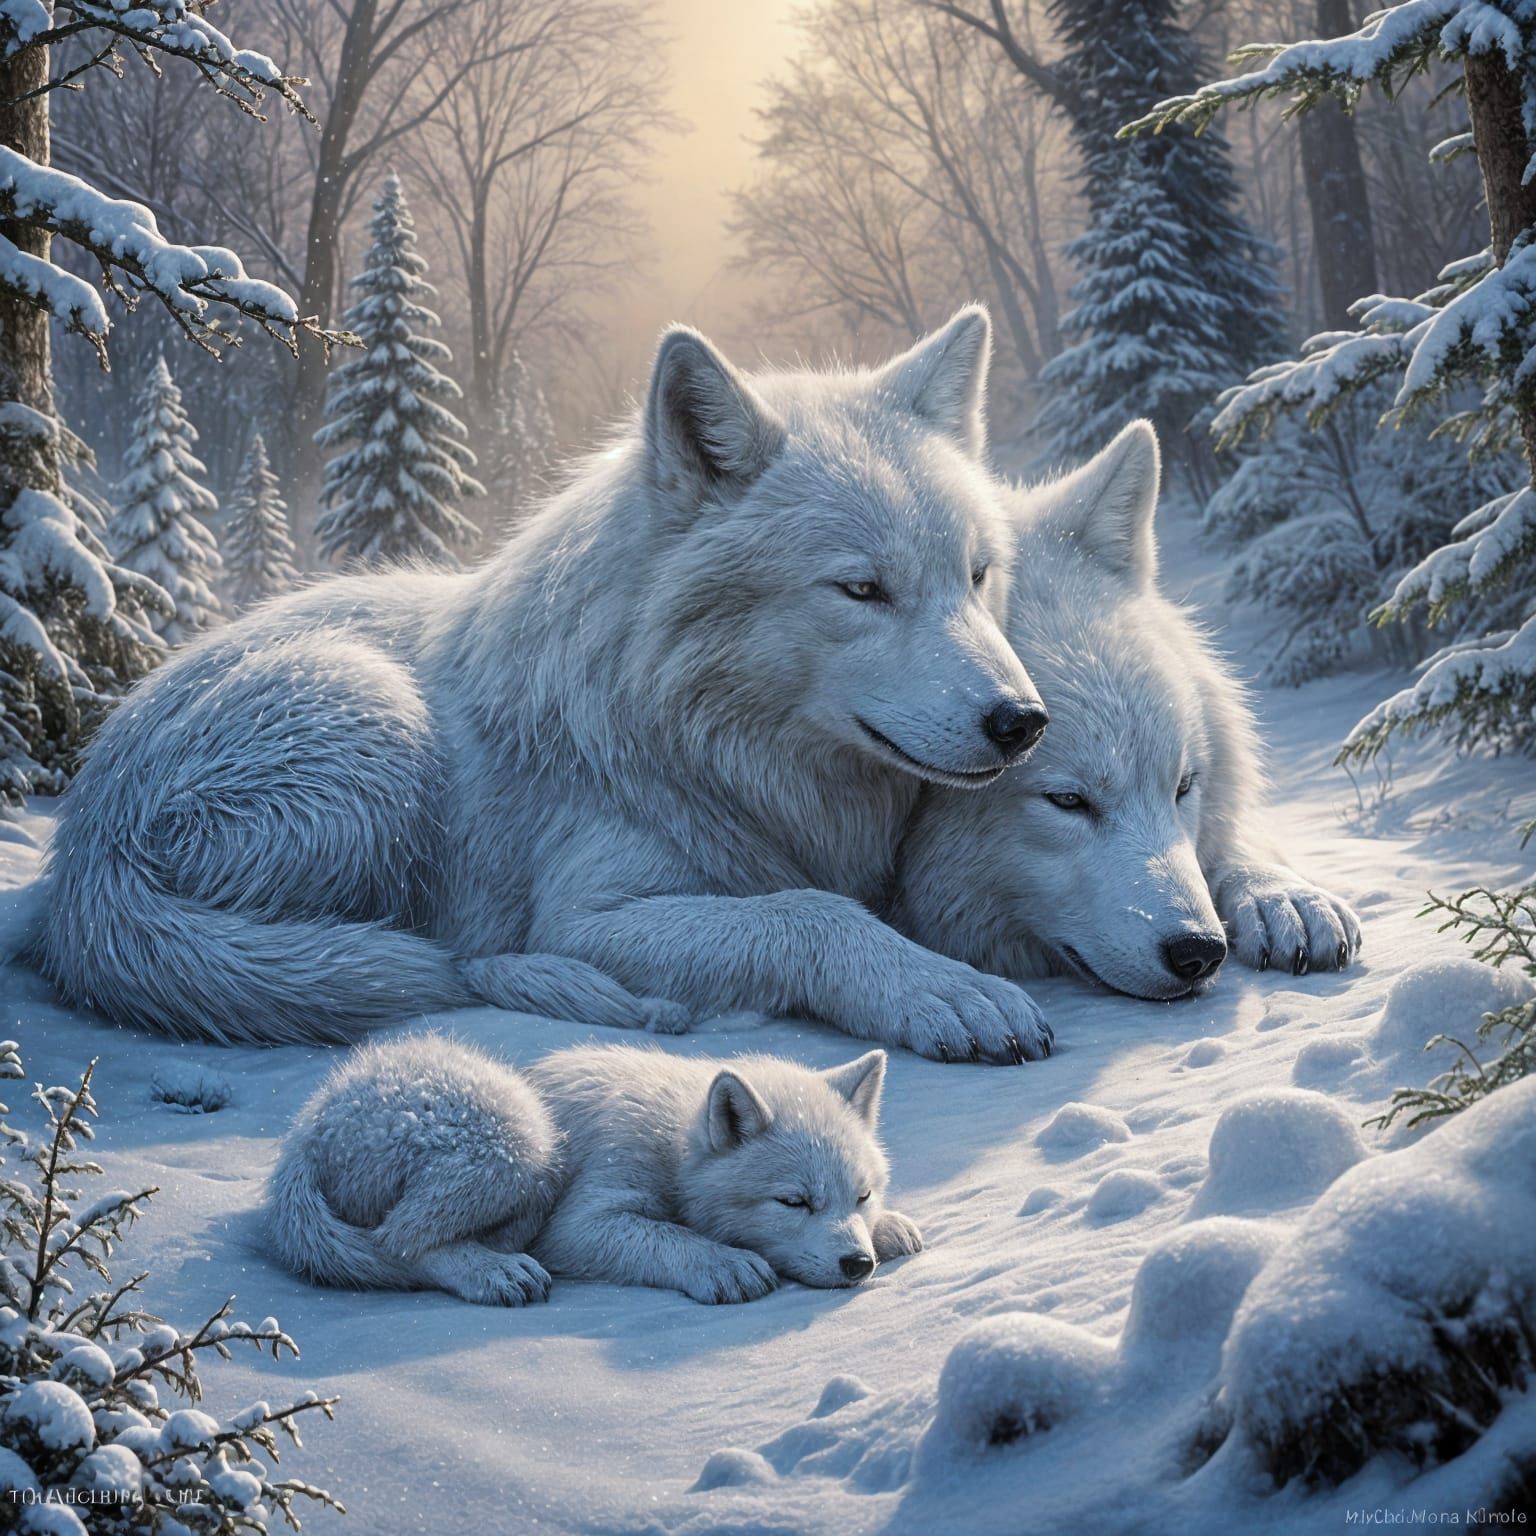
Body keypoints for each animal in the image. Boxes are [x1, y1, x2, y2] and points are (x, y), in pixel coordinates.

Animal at [35, 309, 1054, 1064]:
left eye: (975, 576)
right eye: (862, 590)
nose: (1022, 721)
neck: (696, 742)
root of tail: (80, 859)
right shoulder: (586, 917)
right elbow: (809, 913)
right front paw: (942, 989)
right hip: (373, 721)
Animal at [265, 1035, 922, 1305]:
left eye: (862, 1196)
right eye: (793, 1202)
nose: (858, 1265)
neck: (672, 1146)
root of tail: (306, 1128)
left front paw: (894, 1228)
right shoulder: (581, 1218)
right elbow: (664, 1235)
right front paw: (722, 1263)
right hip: (522, 1142)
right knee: (399, 1240)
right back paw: (496, 1273)